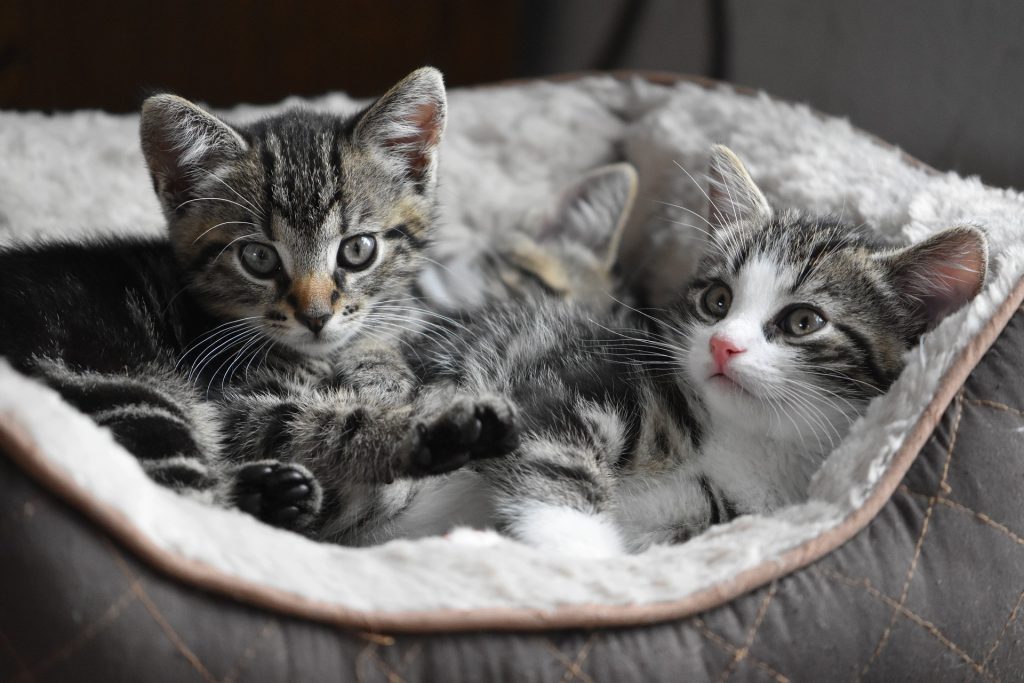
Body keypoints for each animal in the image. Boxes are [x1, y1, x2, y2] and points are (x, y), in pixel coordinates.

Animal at [0, 68, 512, 528]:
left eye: (358, 250)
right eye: (259, 258)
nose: (316, 316)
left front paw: (381, 368)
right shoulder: (233, 405)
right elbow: (320, 425)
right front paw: (428, 425)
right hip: (116, 389)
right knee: (187, 515)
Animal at [346, 144, 991, 557]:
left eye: (804, 322)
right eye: (717, 300)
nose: (724, 346)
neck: (746, 441)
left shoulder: (709, 520)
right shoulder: (563, 385)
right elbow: (559, 466)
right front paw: (571, 559)